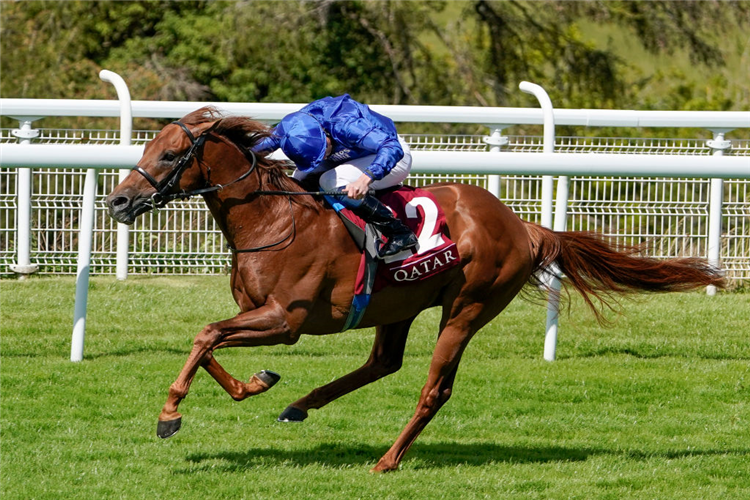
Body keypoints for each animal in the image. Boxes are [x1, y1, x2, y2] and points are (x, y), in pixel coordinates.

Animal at [106, 106, 724, 472]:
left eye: (168, 154)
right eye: (146, 149)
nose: (118, 201)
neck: (272, 220)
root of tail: (522, 225)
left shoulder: (286, 320)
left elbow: (205, 335)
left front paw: (169, 414)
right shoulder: (258, 313)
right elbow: (210, 341)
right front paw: (255, 384)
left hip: (468, 306)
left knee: (434, 389)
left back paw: (387, 459)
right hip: (399, 303)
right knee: (384, 362)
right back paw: (300, 405)